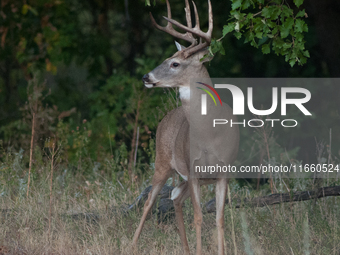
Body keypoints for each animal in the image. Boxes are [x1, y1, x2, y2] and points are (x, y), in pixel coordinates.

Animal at [133, 0, 239, 254]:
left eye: (175, 63)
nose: (145, 77)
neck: (211, 134)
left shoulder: (223, 172)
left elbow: (219, 218)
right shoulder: (193, 171)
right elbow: (199, 217)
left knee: (175, 198)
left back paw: (185, 248)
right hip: (162, 161)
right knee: (149, 202)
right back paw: (131, 245)